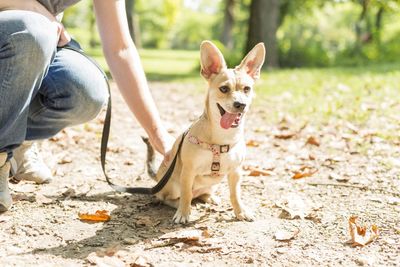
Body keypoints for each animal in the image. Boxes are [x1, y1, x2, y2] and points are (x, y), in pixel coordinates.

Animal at [145, 40, 266, 224]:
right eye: (224, 89)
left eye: (247, 89)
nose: (241, 104)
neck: (223, 137)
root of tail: (158, 178)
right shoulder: (188, 172)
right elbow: (186, 194)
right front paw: (183, 213)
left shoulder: (235, 172)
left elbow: (235, 195)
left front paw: (240, 211)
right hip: (173, 185)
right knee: (172, 198)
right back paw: (179, 205)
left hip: (212, 184)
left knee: (201, 194)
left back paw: (210, 198)